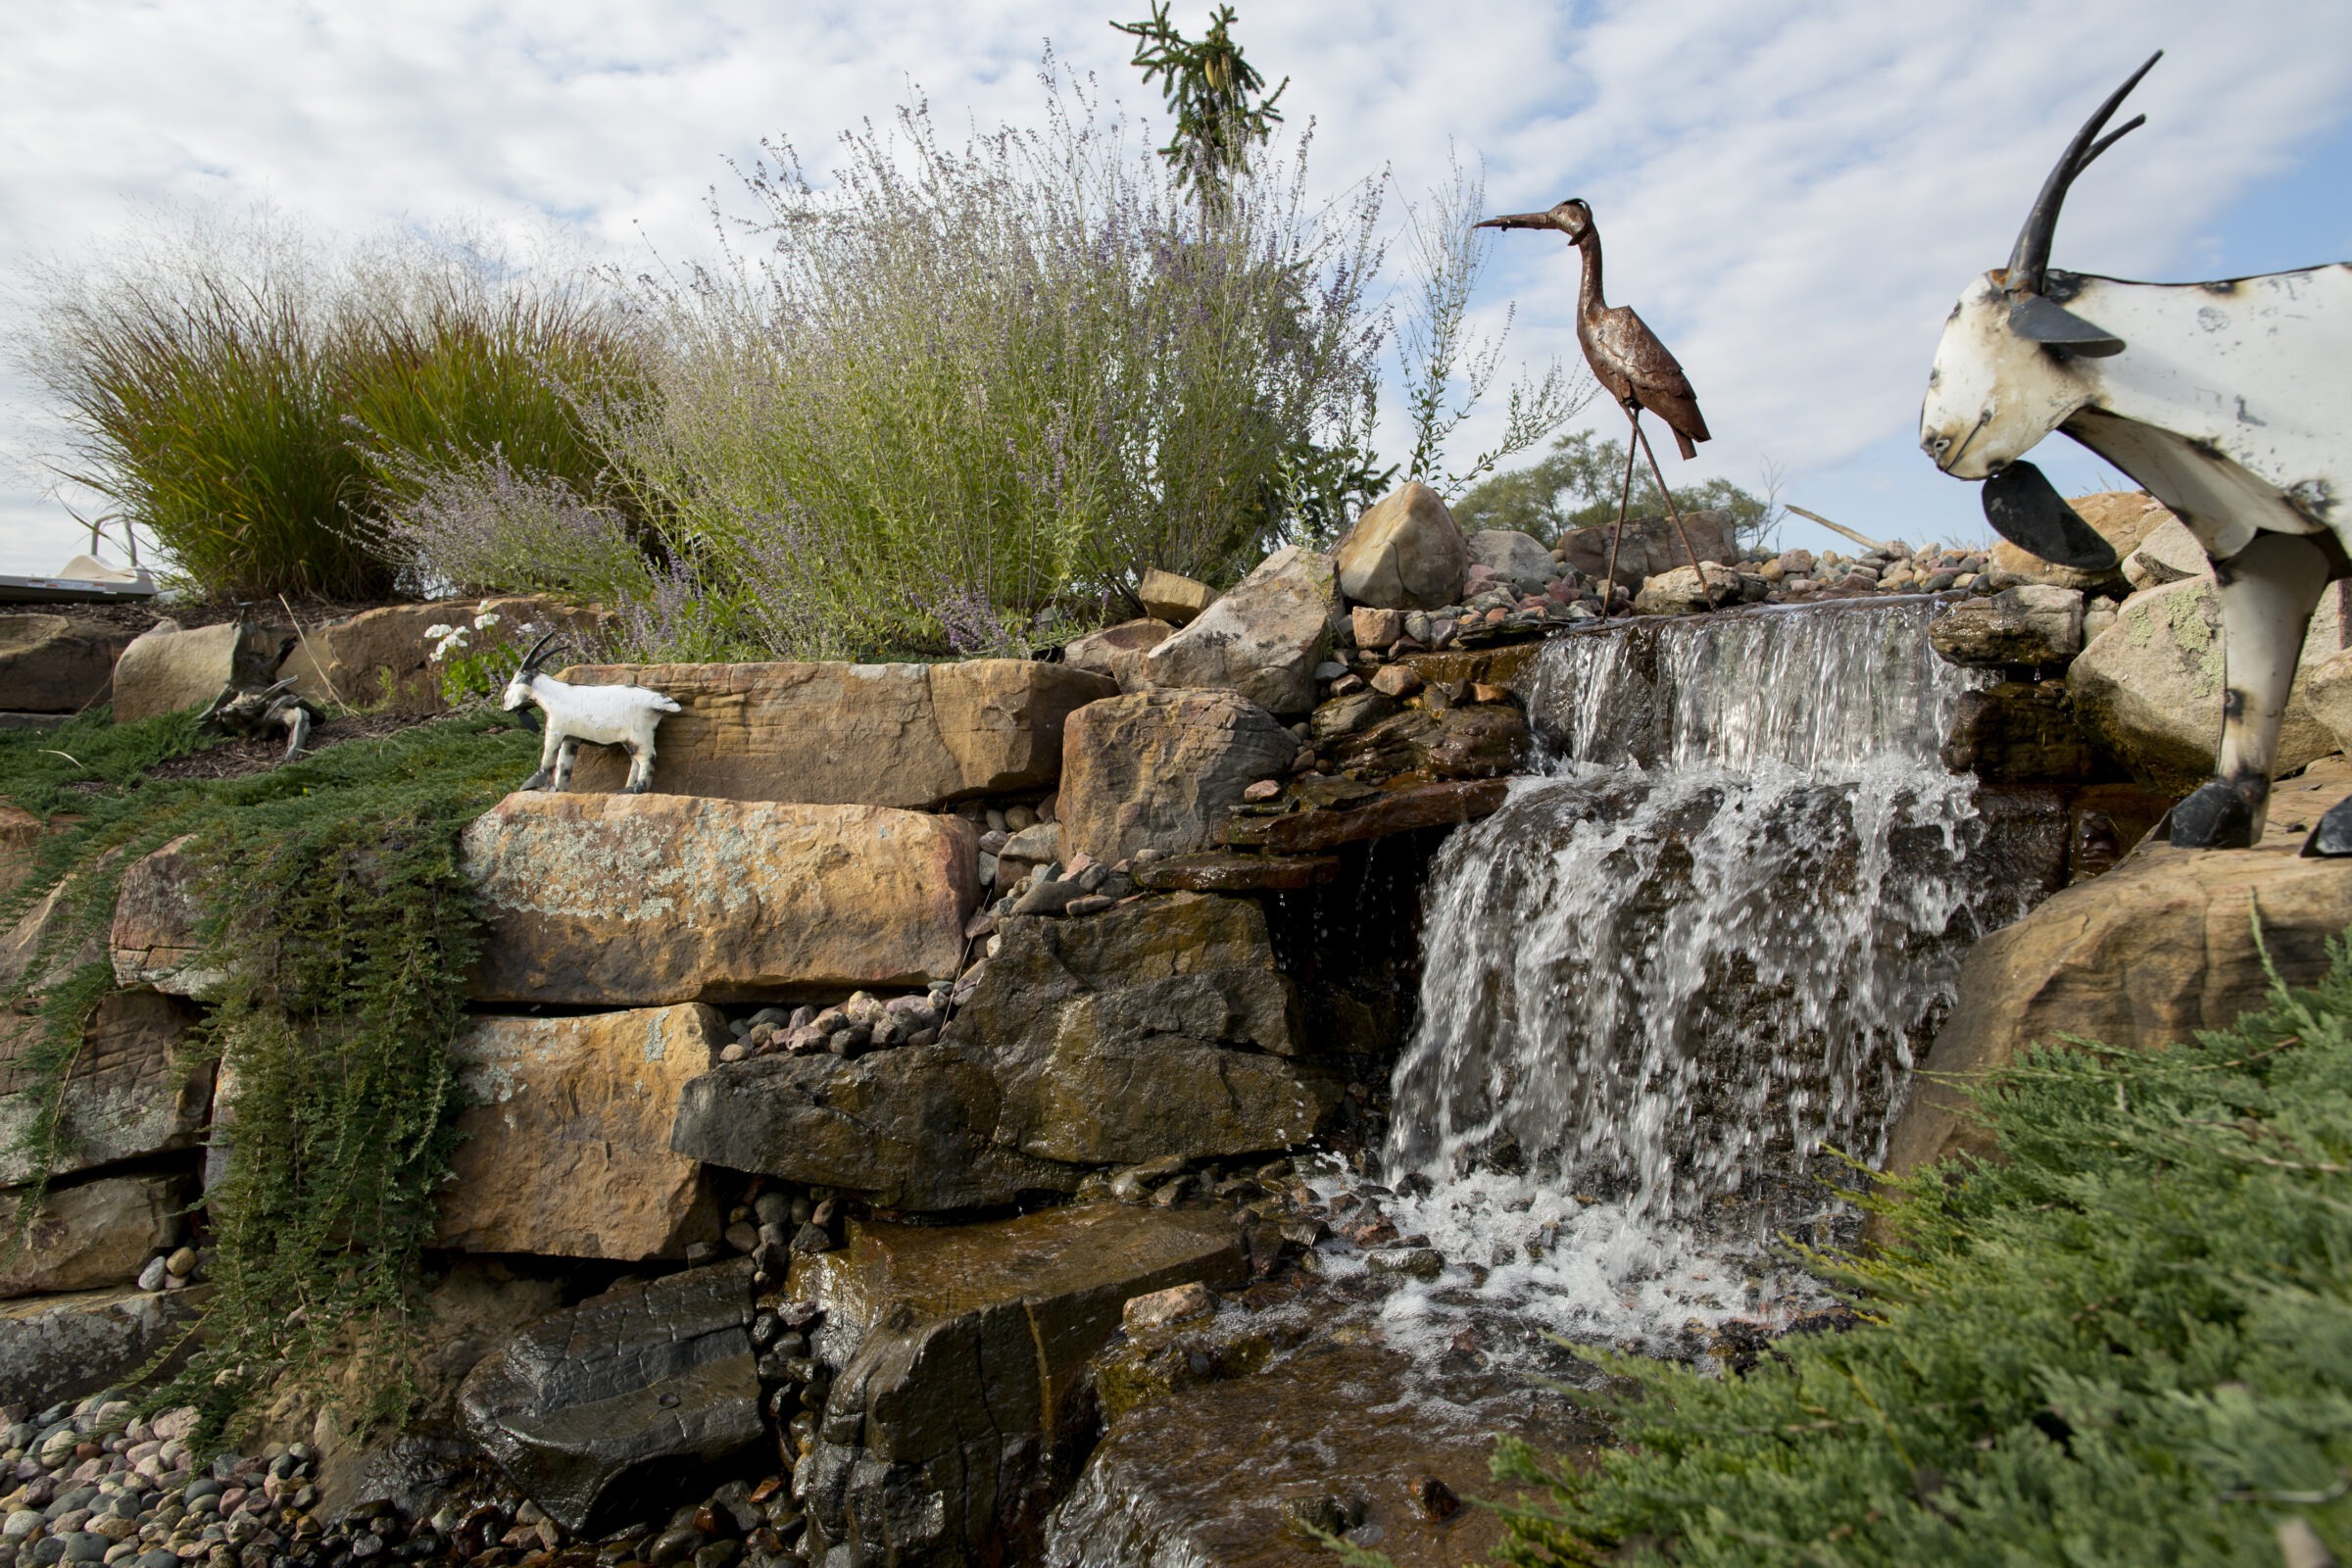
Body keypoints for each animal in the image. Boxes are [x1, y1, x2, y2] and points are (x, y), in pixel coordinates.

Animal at [501, 633, 681, 794]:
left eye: (513, 685)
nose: (505, 706)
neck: (552, 694)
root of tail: (658, 701)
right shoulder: (571, 737)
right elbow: (564, 765)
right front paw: (559, 790)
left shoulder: (556, 729)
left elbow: (549, 757)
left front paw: (533, 785)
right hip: (631, 739)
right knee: (635, 761)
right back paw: (627, 787)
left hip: (639, 735)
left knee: (647, 758)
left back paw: (634, 789)